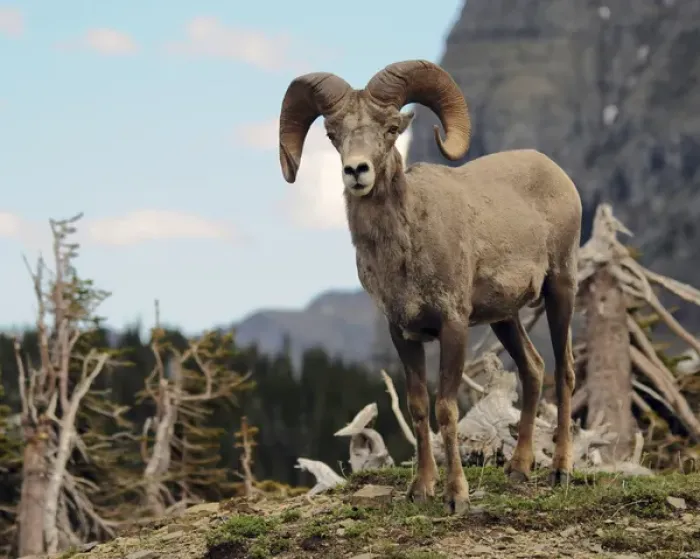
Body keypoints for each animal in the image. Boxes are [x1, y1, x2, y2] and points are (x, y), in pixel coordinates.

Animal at [277, 59, 583, 515]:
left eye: (390, 129)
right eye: (333, 134)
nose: (356, 172)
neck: (406, 249)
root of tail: (557, 174)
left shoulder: (453, 327)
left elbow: (447, 409)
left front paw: (456, 496)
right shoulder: (403, 334)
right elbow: (419, 408)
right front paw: (421, 489)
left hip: (560, 287)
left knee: (563, 372)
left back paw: (561, 471)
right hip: (505, 319)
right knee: (533, 369)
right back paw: (518, 470)